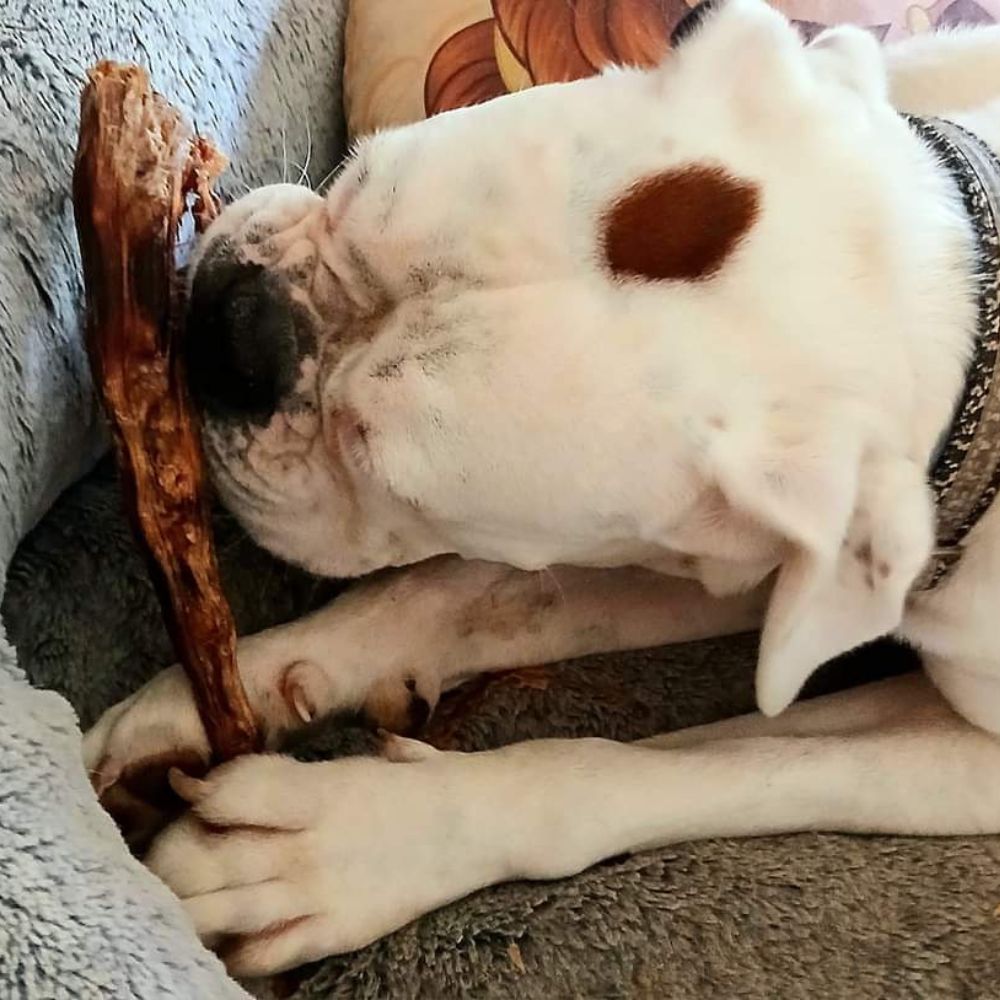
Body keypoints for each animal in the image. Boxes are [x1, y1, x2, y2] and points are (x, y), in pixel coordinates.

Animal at [82, 1, 1000, 976]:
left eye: (375, 462)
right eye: (353, 178)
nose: (236, 332)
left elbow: (690, 771)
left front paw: (346, 843)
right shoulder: (717, 558)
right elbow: (465, 594)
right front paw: (250, 678)